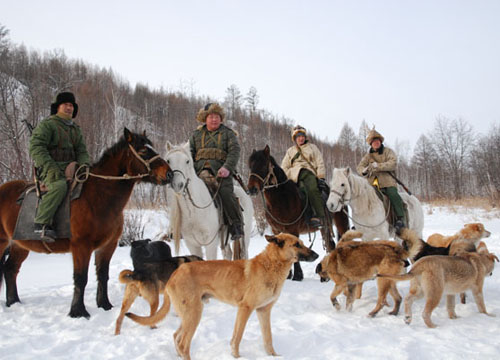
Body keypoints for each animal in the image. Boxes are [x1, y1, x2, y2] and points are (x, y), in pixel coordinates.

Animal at [0, 129, 174, 318]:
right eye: (143, 151)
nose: (169, 174)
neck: (98, 197)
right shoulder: (81, 246)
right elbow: (80, 278)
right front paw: (78, 311)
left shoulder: (107, 246)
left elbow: (103, 275)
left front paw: (104, 304)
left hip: (20, 245)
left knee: (10, 269)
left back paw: (13, 302)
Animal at [127, 232, 318, 358]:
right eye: (296, 244)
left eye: (302, 242)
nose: (316, 254)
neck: (271, 265)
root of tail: (174, 275)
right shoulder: (245, 308)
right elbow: (237, 337)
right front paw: (237, 357)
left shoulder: (263, 311)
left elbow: (268, 338)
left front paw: (274, 356)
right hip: (194, 314)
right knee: (183, 344)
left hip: (189, 314)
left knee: (176, 337)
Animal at [246, 145, 348, 280]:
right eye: (250, 166)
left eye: (263, 165)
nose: (251, 189)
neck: (281, 199)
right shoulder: (276, 230)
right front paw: (288, 275)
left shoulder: (293, 230)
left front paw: (298, 275)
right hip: (324, 227)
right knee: (330, 245)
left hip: (341, 223)